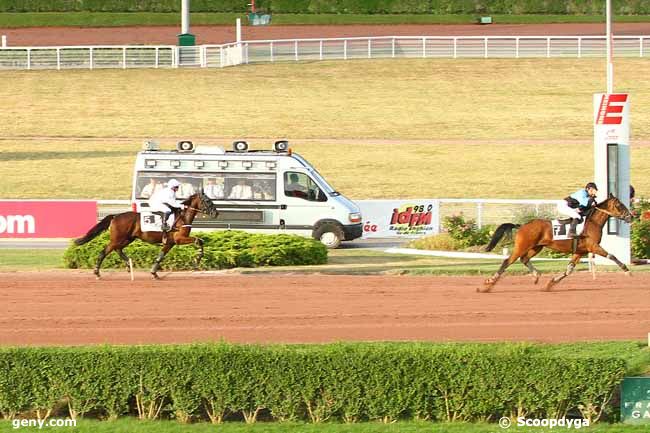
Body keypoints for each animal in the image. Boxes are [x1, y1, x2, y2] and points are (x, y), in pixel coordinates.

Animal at [74, 191, 218, 278]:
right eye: (207, 201)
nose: (216, 213)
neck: (182, 217)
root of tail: (115, 216)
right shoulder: (179, 239)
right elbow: (199, 241)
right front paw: (197, 259)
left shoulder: (170, 243)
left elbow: (161, 256)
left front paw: (154, 273)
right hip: (118, 238)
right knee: (104, 251)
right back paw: (97, 272)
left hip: (128, 239)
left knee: (117, 249)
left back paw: (128, 266)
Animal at [480, 194, 628, 292]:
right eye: (620, 205)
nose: (630, 216)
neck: (593, 223)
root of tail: (522, 226)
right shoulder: (593, 246)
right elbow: (611, 255)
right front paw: (626, 270)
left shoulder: (580, 251)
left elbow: (569, 270)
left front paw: (551, 283)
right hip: (522, 246)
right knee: (508, 261)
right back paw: (489, 283)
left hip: (536, 247)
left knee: (524, 259)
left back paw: (536, 276)